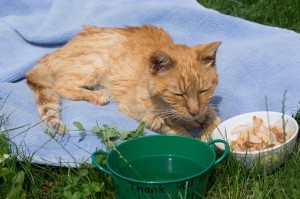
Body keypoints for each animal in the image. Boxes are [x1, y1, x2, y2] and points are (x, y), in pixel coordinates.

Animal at [26, 25, 223, 140]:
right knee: (62, 85)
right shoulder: (146, 116)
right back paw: (97, 96)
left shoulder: (208, 109)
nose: (194, 112)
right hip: (95, 63)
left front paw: (204, 133)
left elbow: (215, 122)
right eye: (178, 94)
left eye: (204, 91)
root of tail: (55, 51)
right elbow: (178, 133)